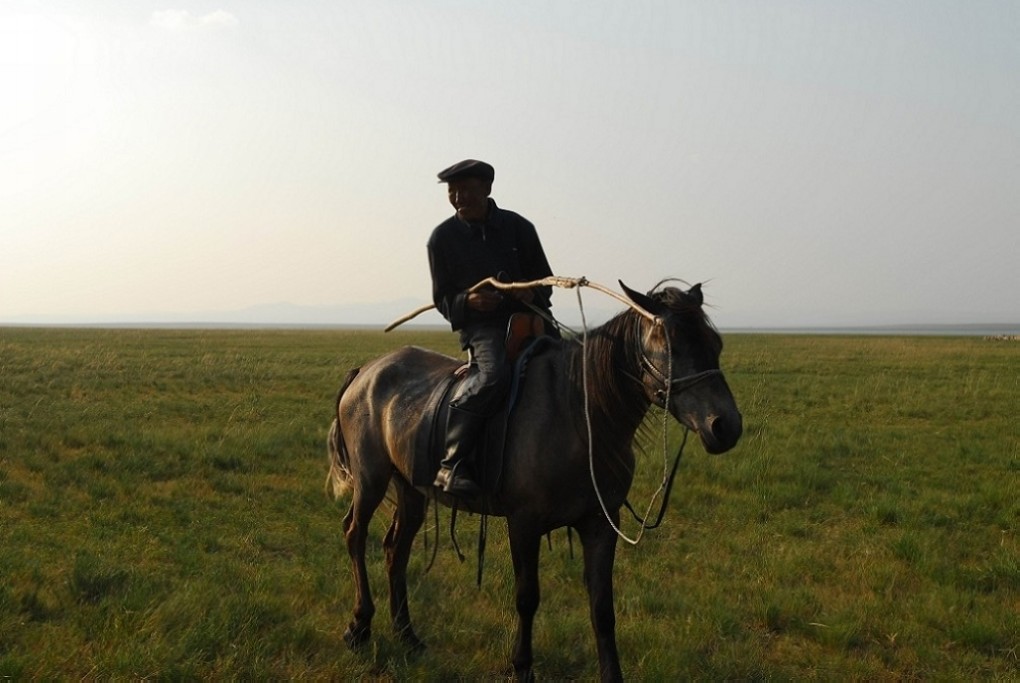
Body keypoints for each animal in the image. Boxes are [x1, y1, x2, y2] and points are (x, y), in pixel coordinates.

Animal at [326, 281, 742, 680]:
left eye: (716, 343)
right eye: (671, 345)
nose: (726, 426)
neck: (578, 414)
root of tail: (366, 371)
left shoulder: (600, 523)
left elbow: (602, 607)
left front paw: (611, 673)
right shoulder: (524, 523)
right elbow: (527, 597)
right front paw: (522, 666)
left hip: (411, 488)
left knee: (396, 549)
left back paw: (407, 635)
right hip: (371, 479)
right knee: (355, 534)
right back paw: (359, 626)